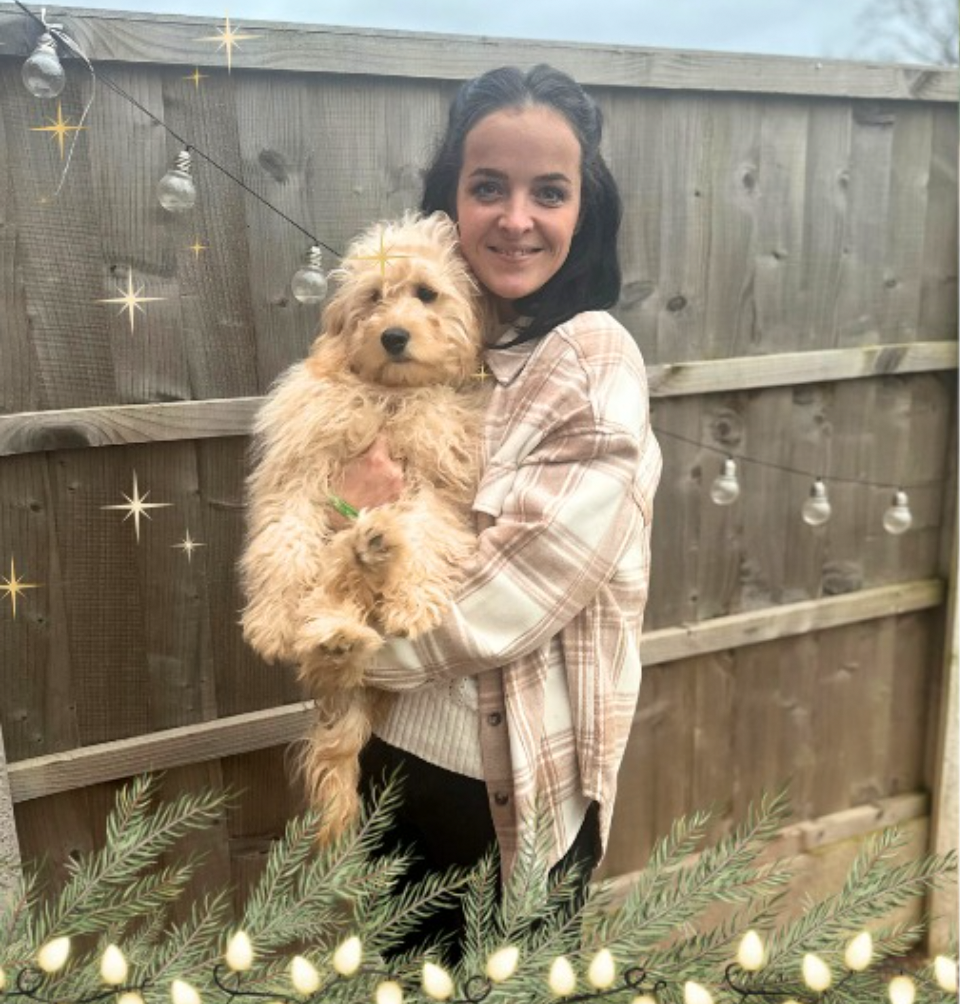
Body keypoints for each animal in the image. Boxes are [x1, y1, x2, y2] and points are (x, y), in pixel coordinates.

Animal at [240, 209, 488, 839]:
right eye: (375, 297)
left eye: (425, 294)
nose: (393, 336)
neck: (387, 396)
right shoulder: (299, 474)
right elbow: (285, 543)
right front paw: (272, 621)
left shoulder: (438, 487)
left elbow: (425, 533)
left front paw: (413, 602)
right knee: (329, 598)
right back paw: (338, 622)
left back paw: (370, 561)